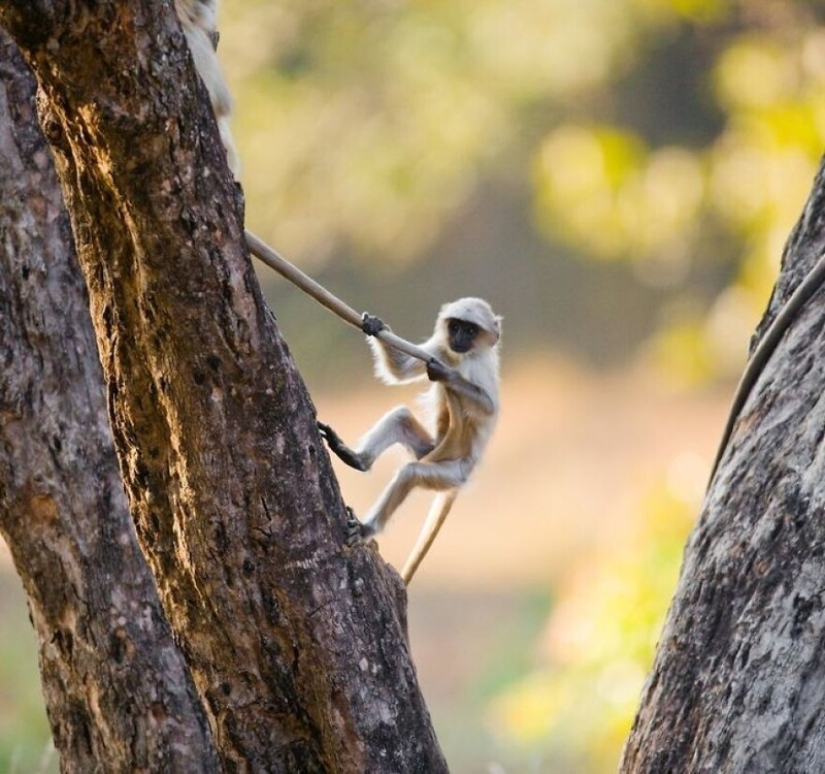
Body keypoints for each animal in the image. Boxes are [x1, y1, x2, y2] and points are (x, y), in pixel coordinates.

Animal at [318, 300, 502, 584]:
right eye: (455, 327)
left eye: (470, 330)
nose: (458, 338)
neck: (460, 357)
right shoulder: (440, 349)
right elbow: (400, 371)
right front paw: (375, 325)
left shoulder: (478, 365)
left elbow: (488, 407)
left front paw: (446, 374)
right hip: (427, 449)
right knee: (401, 416)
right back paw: (357, 459)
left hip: (452, 472)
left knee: (411, 472)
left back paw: (367, 528)